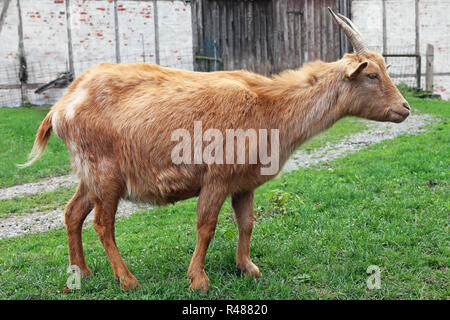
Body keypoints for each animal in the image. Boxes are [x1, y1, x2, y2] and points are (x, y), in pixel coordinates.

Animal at [22, 9, 410, 292]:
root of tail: (61, 106)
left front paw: (248, 268)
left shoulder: (244, 183)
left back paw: (81, 272)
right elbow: (206, 225)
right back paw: (128, 280)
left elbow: (246, 223)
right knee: (103, 223)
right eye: (371, 75)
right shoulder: (216, 178)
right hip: (106, 173)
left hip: (88, 174)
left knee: (73, 213)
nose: (405, 108)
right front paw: (199, 280)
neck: (270, 106)